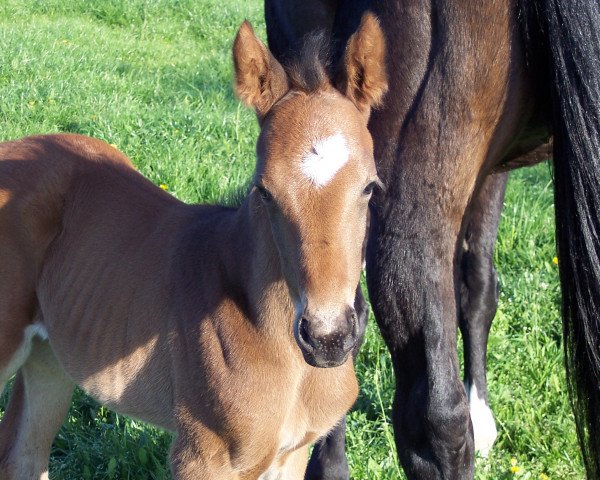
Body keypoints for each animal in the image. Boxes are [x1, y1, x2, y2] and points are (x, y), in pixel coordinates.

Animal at [0, 13, 386, 478]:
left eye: (370, 187)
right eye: (264, 191)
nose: (328, 337)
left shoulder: (292, 453)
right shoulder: (201, 454)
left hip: (50, 357)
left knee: (23, 453)